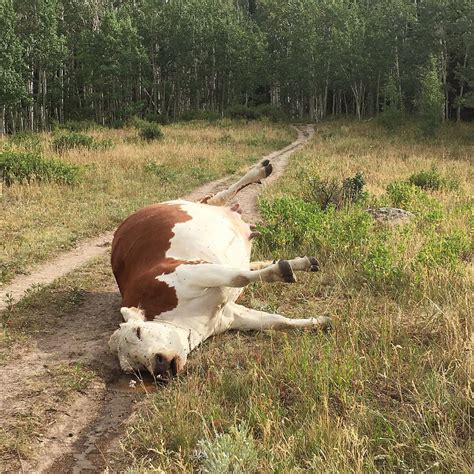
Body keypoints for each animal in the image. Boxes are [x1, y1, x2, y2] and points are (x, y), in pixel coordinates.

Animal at [108, 161, 330, 380]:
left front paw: (284, 270)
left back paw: (261, 169)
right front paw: (319, 322)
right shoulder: (230, 315)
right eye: (134, 368)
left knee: (217, 197)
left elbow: (239, 277)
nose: (159, 366)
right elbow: (277, 321)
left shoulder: (191, 272)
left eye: (138, 331)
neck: (187, 322)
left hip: (194, 206)